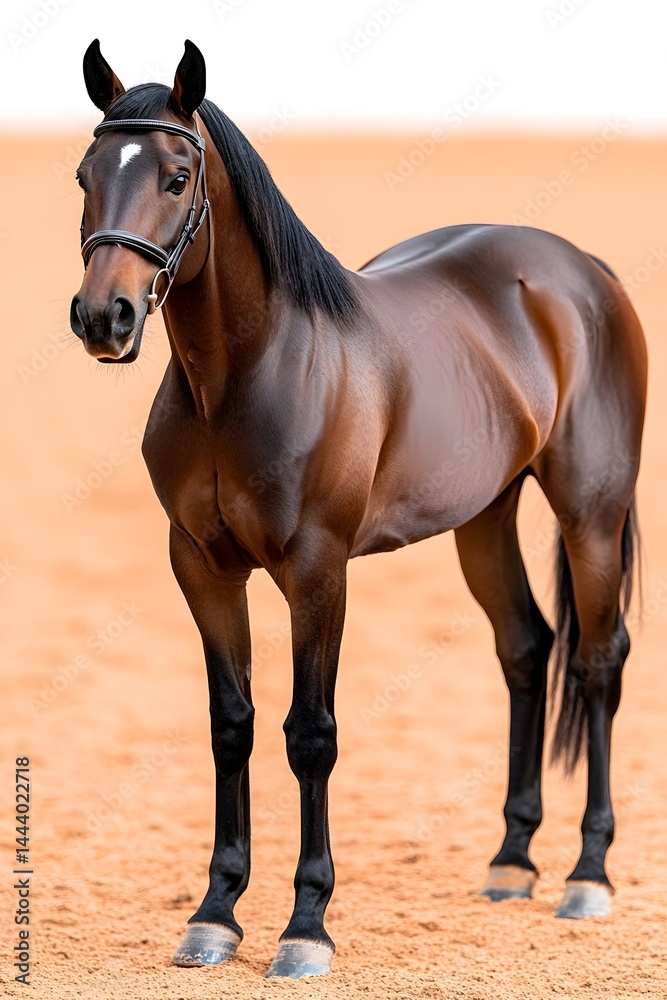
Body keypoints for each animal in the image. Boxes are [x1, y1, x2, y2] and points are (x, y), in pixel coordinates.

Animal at [70, 39, 647, 979]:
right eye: (84, 174)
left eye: (178, 177)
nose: (102, 318)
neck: (247, 376)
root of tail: (580, 270)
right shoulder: (200, 565)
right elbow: (231, 726)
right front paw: (214, 915)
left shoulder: (317, 571)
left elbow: (311, 733)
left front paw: (305, 926)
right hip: (484, 516)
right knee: (526, 647)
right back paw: (511, 862)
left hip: (589, 510)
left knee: (596, 664)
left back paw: (585, 875)